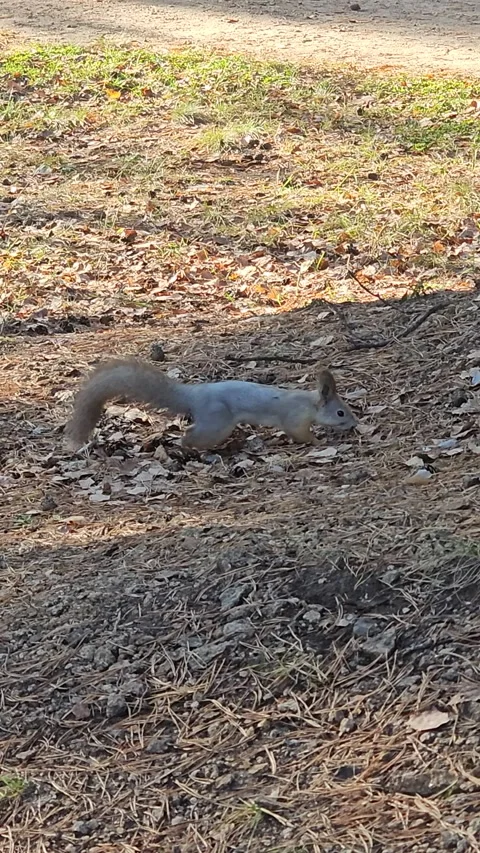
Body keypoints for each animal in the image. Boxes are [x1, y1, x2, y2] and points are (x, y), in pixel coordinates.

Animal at [64, 358, 358, 451]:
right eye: (340, 412)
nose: (355, 425)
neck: (308, 403)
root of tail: (194, 395)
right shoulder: (294, 418)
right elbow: (298, 433)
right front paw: (317, 441)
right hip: (217, 423)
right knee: (190, 436)